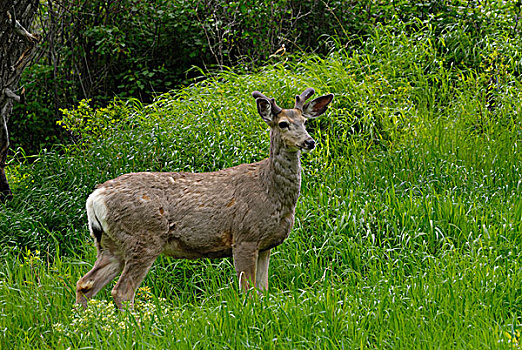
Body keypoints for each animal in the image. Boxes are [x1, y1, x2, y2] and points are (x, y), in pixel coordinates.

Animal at [75, 87, 332, 308]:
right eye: (283, 124)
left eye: (305, 122)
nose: (309, 141)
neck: (270, 191)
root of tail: (94, 197)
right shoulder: (244, 237)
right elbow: (248, 292)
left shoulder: (266, 244)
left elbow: (262, 290)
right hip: (143, 237)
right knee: (122, 291)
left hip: (110, 243)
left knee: (85, 283)